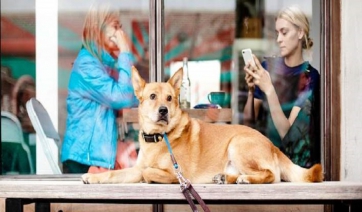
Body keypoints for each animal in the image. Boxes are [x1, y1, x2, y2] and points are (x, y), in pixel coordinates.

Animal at [81, 66, 322, 184]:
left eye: (170, 98)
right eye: (152, 96)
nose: (163, 110)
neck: (159, 138)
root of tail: (273, 146)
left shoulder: (177, 173)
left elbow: (149, 172)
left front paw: (151, 176)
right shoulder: (135, 169)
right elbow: (115, 174)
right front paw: (93, 177)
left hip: (237, 144)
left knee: (271, 175)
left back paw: (243, 179)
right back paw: (227, 178)